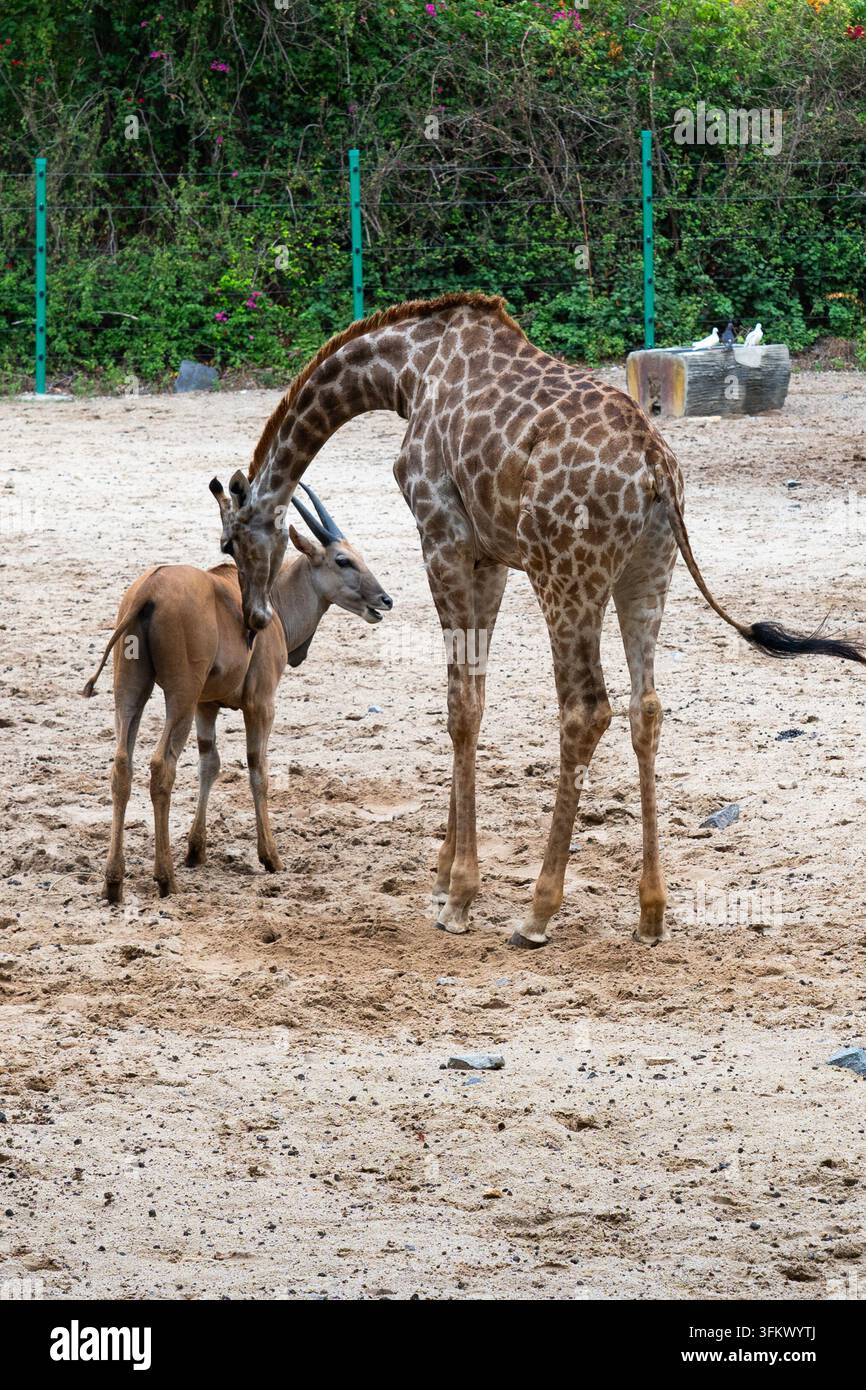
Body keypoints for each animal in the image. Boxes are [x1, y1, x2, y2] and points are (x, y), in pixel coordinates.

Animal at [214, 291, 864, 948]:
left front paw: (459, 895)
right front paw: (444, 877)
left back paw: (537, 912)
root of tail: (658, 467)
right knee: (646, 707)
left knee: (586, 708)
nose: (255, 615)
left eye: (228, 542)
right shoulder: (491, 555)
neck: (406, 371)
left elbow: (460, 702)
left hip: (565, 574)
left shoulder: (443, 534)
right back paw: (651, 914)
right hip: (646, 574)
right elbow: (474, 695)